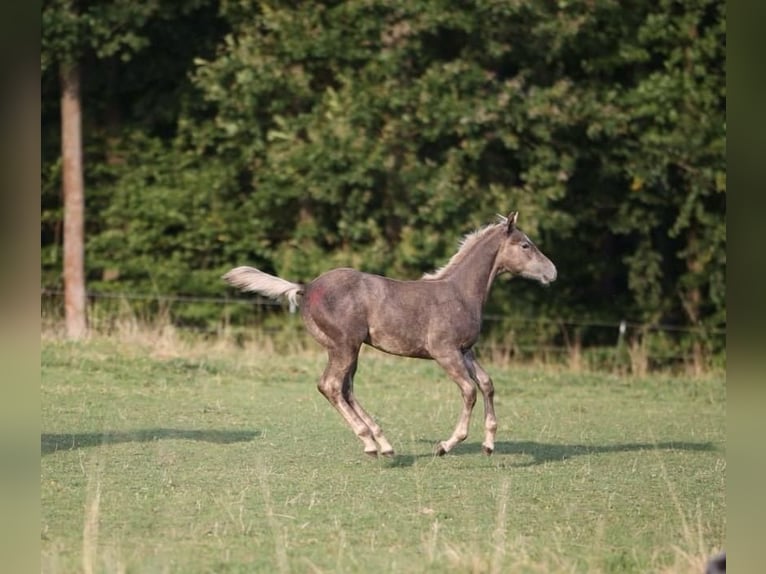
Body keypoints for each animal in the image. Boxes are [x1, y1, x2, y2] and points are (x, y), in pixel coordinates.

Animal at [222, 212, 560, 460]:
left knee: (345, 388)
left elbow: (487, 384)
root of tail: (306, 288)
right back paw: (372, 443)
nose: (553, 272)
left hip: (346, 349)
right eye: (525, 245)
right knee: (330, 385)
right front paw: (446, 445)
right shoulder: (445, 352)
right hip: (345, 345)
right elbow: (468, 391)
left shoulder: (466, 350)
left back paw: (380, 442)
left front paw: (489, 443)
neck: (460, 292)